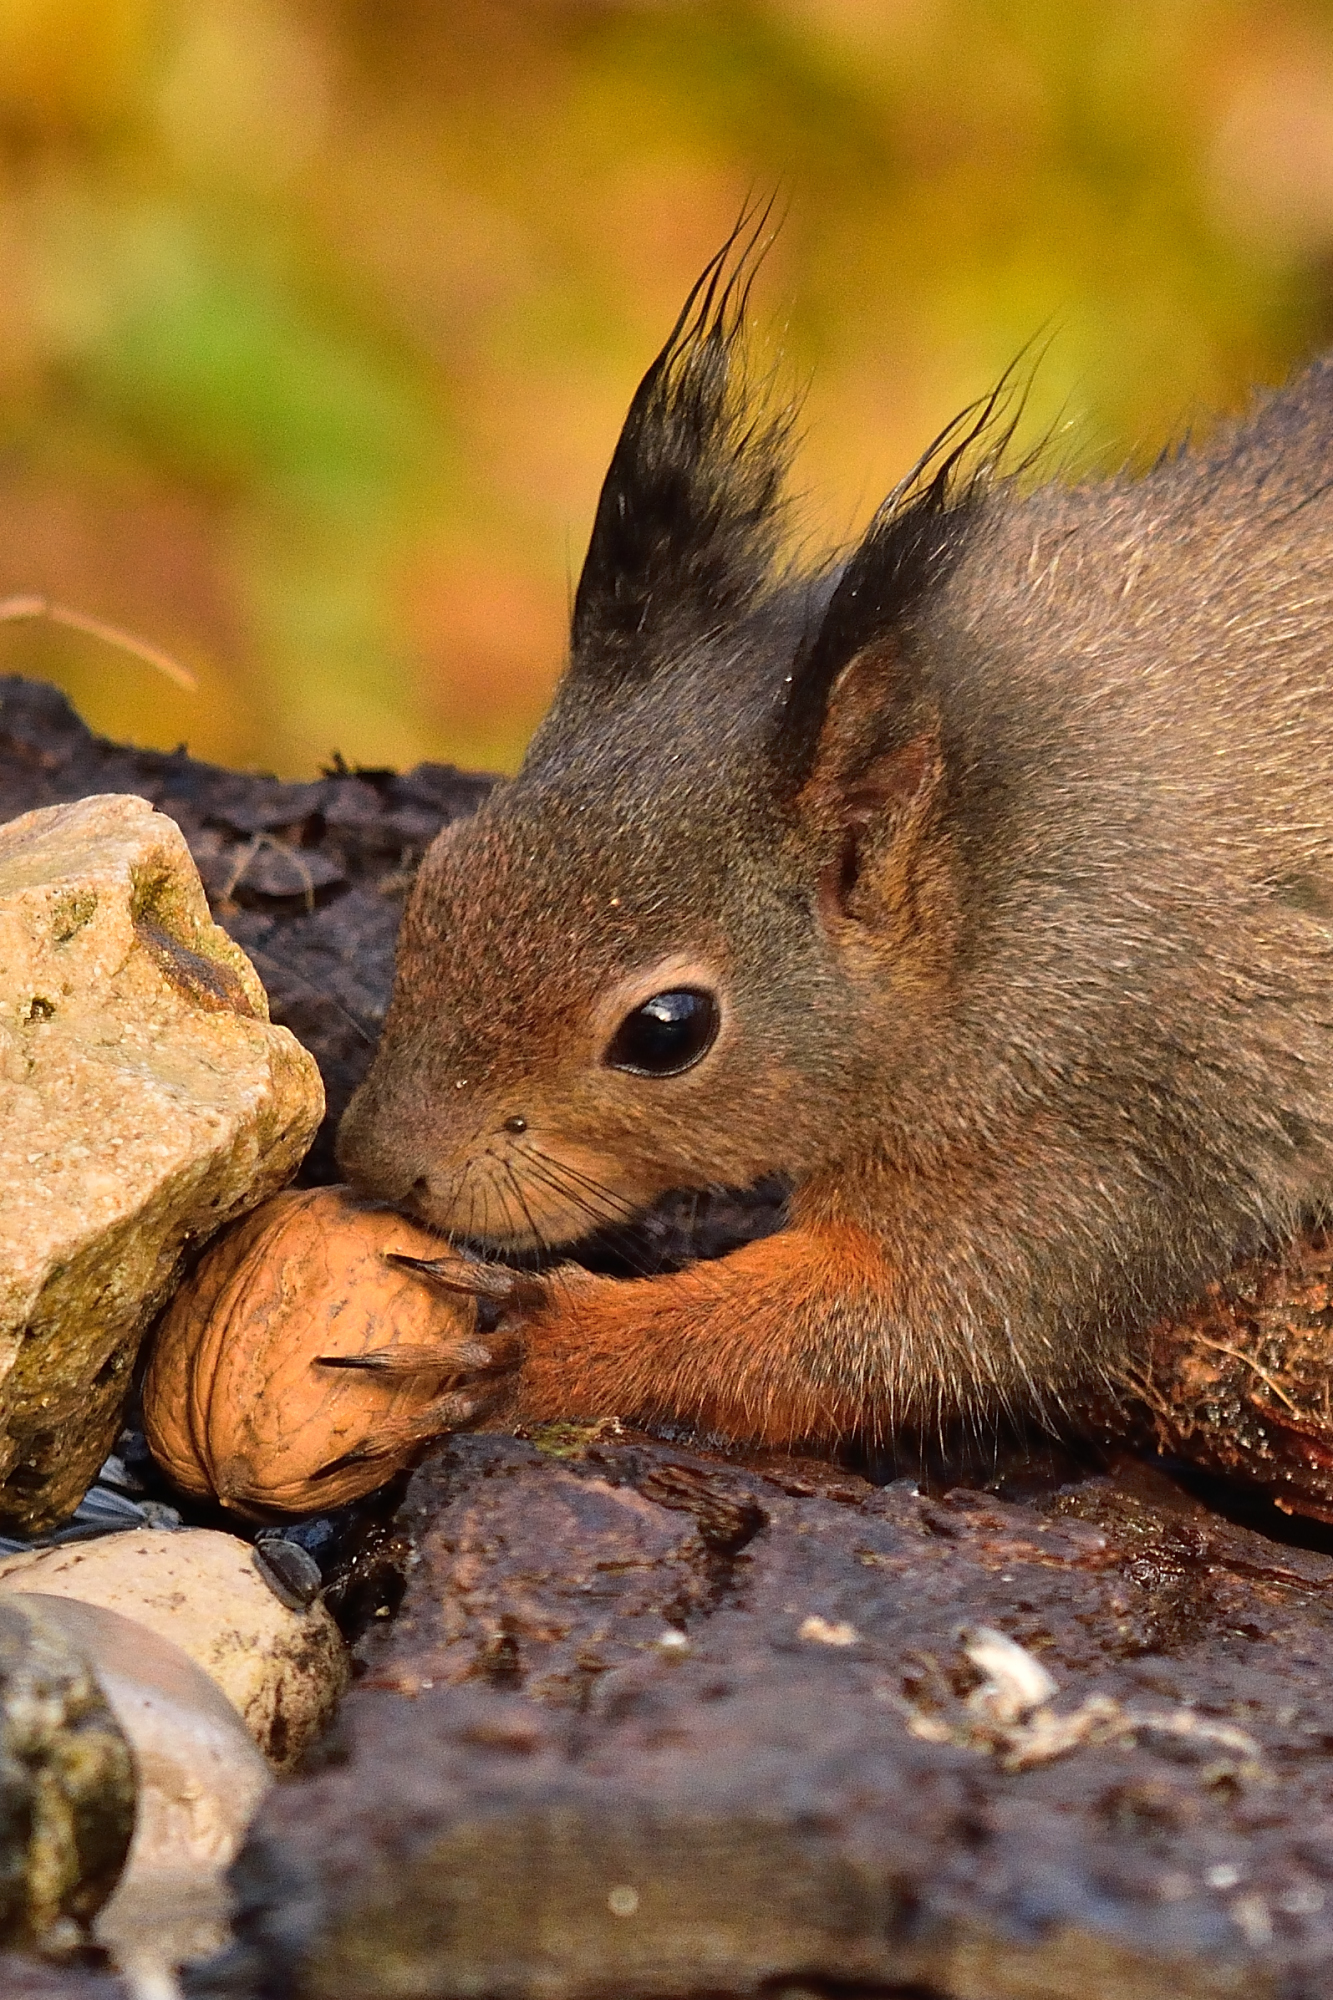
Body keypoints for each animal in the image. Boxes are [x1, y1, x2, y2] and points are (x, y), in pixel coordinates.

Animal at [336, 233, 1333, 1453]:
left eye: (667, 1032)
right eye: (438, 876)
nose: (377, 1165)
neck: (989, 875)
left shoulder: (1107, 1111)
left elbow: (924, 1320)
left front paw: (554, 1341)